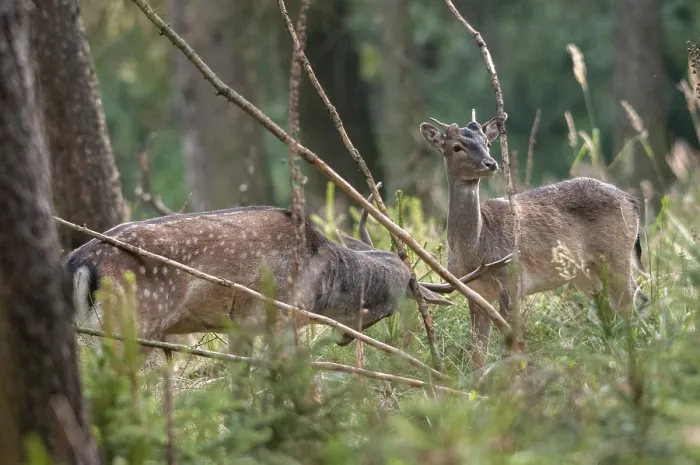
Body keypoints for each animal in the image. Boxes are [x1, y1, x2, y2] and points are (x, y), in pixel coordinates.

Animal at [66, 188, 511, 361]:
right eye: (397, 299)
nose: (346, 338)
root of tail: (79, 262)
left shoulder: (241, 327)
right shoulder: (283, 317)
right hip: (131, 323)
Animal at [419, 113, 649, 368]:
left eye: (487, 143)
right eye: (457, 147)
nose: (491, 163)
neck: (476, 249)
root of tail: (631, 201)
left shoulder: (512, 279)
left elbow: (511, 344)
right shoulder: (474, 292)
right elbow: (478, 351)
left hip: (616, 255)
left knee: (635, 300)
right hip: (587, 274)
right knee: (615, 307)